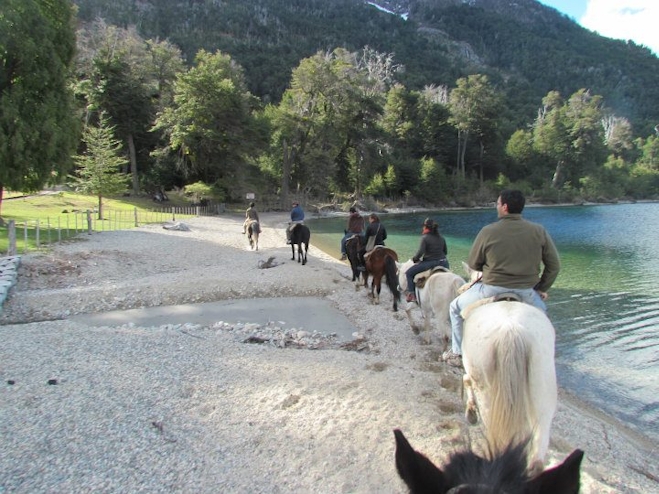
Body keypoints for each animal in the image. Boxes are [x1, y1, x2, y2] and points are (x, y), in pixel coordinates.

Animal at [458, 266, 564, 470]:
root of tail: (511, 331)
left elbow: (466, 379)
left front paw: (471, 413)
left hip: (488, 392)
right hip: (543, 392)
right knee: (537, 454)